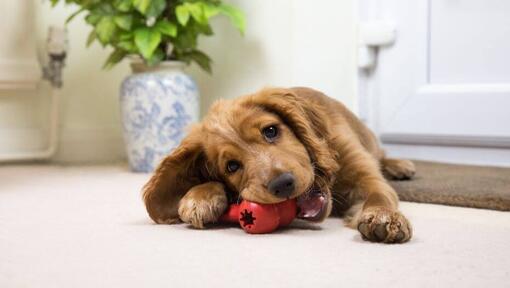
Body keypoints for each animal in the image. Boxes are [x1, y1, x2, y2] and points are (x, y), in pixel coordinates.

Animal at [142, 87, 414, 243]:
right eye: (232, 166)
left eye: (271, 131)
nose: (282, 185)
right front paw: (199, 197)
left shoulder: (365, 175)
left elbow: (379, 194)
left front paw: (384, 217)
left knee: (382, 155)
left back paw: (400, 165)